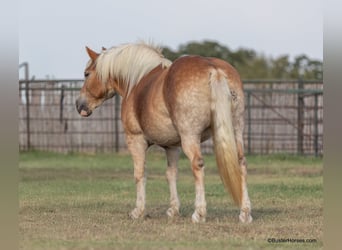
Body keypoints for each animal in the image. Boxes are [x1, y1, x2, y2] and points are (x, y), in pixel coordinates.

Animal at [78, 42, 254, 224]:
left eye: (86, 74)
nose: (80, 105)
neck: (137, 81)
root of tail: (214, 69)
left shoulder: (135, 140)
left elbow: (140, 173)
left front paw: (138, 211)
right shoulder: (172, 146)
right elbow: (171, 174)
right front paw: (173, 209)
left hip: (190, 136)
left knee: (197, 164)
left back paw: (199, 213)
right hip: (236, 130)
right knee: (241, 163)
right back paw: (245, 212)